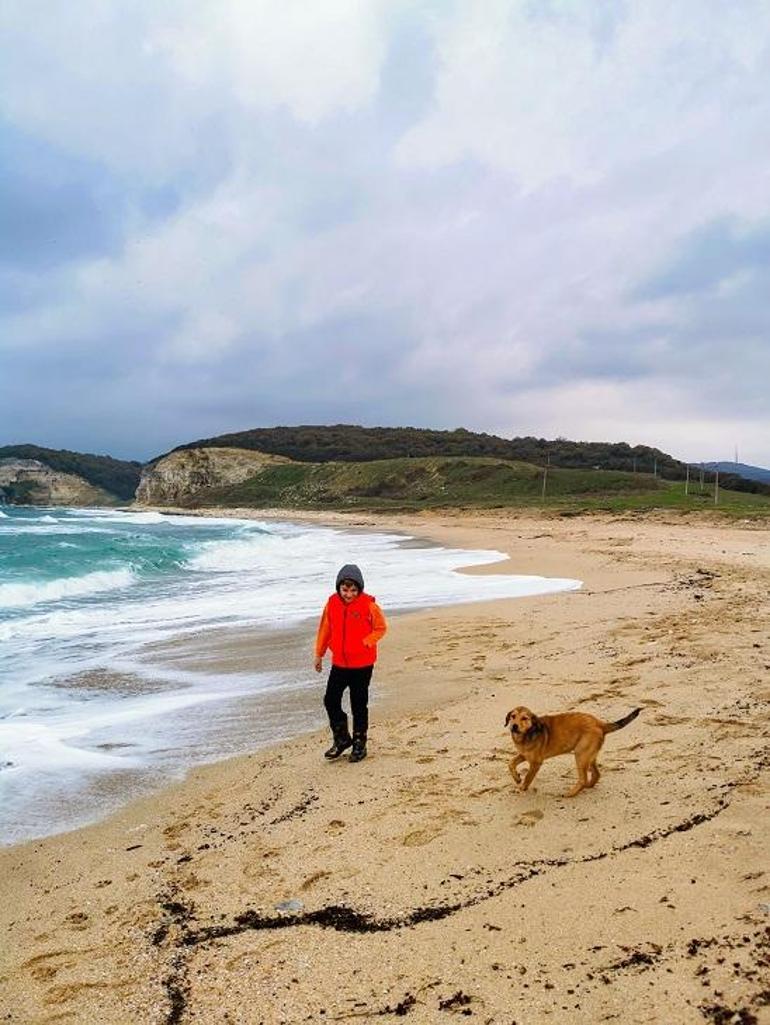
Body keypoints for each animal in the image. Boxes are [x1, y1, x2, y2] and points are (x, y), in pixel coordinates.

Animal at [502, 709, 639, 795]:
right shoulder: (525, 755)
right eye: (513, 716)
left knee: (583, 779)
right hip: (588, 755)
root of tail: (600, 724)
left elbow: (528, 777)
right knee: (596, 774)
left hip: (580, 755)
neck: (528, 733)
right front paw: (517, 778)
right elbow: (510, 763)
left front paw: (521, 788)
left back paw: (570, 793)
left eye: (524, 718)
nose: (514, 726)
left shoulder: (536, 762)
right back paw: (587, 786)